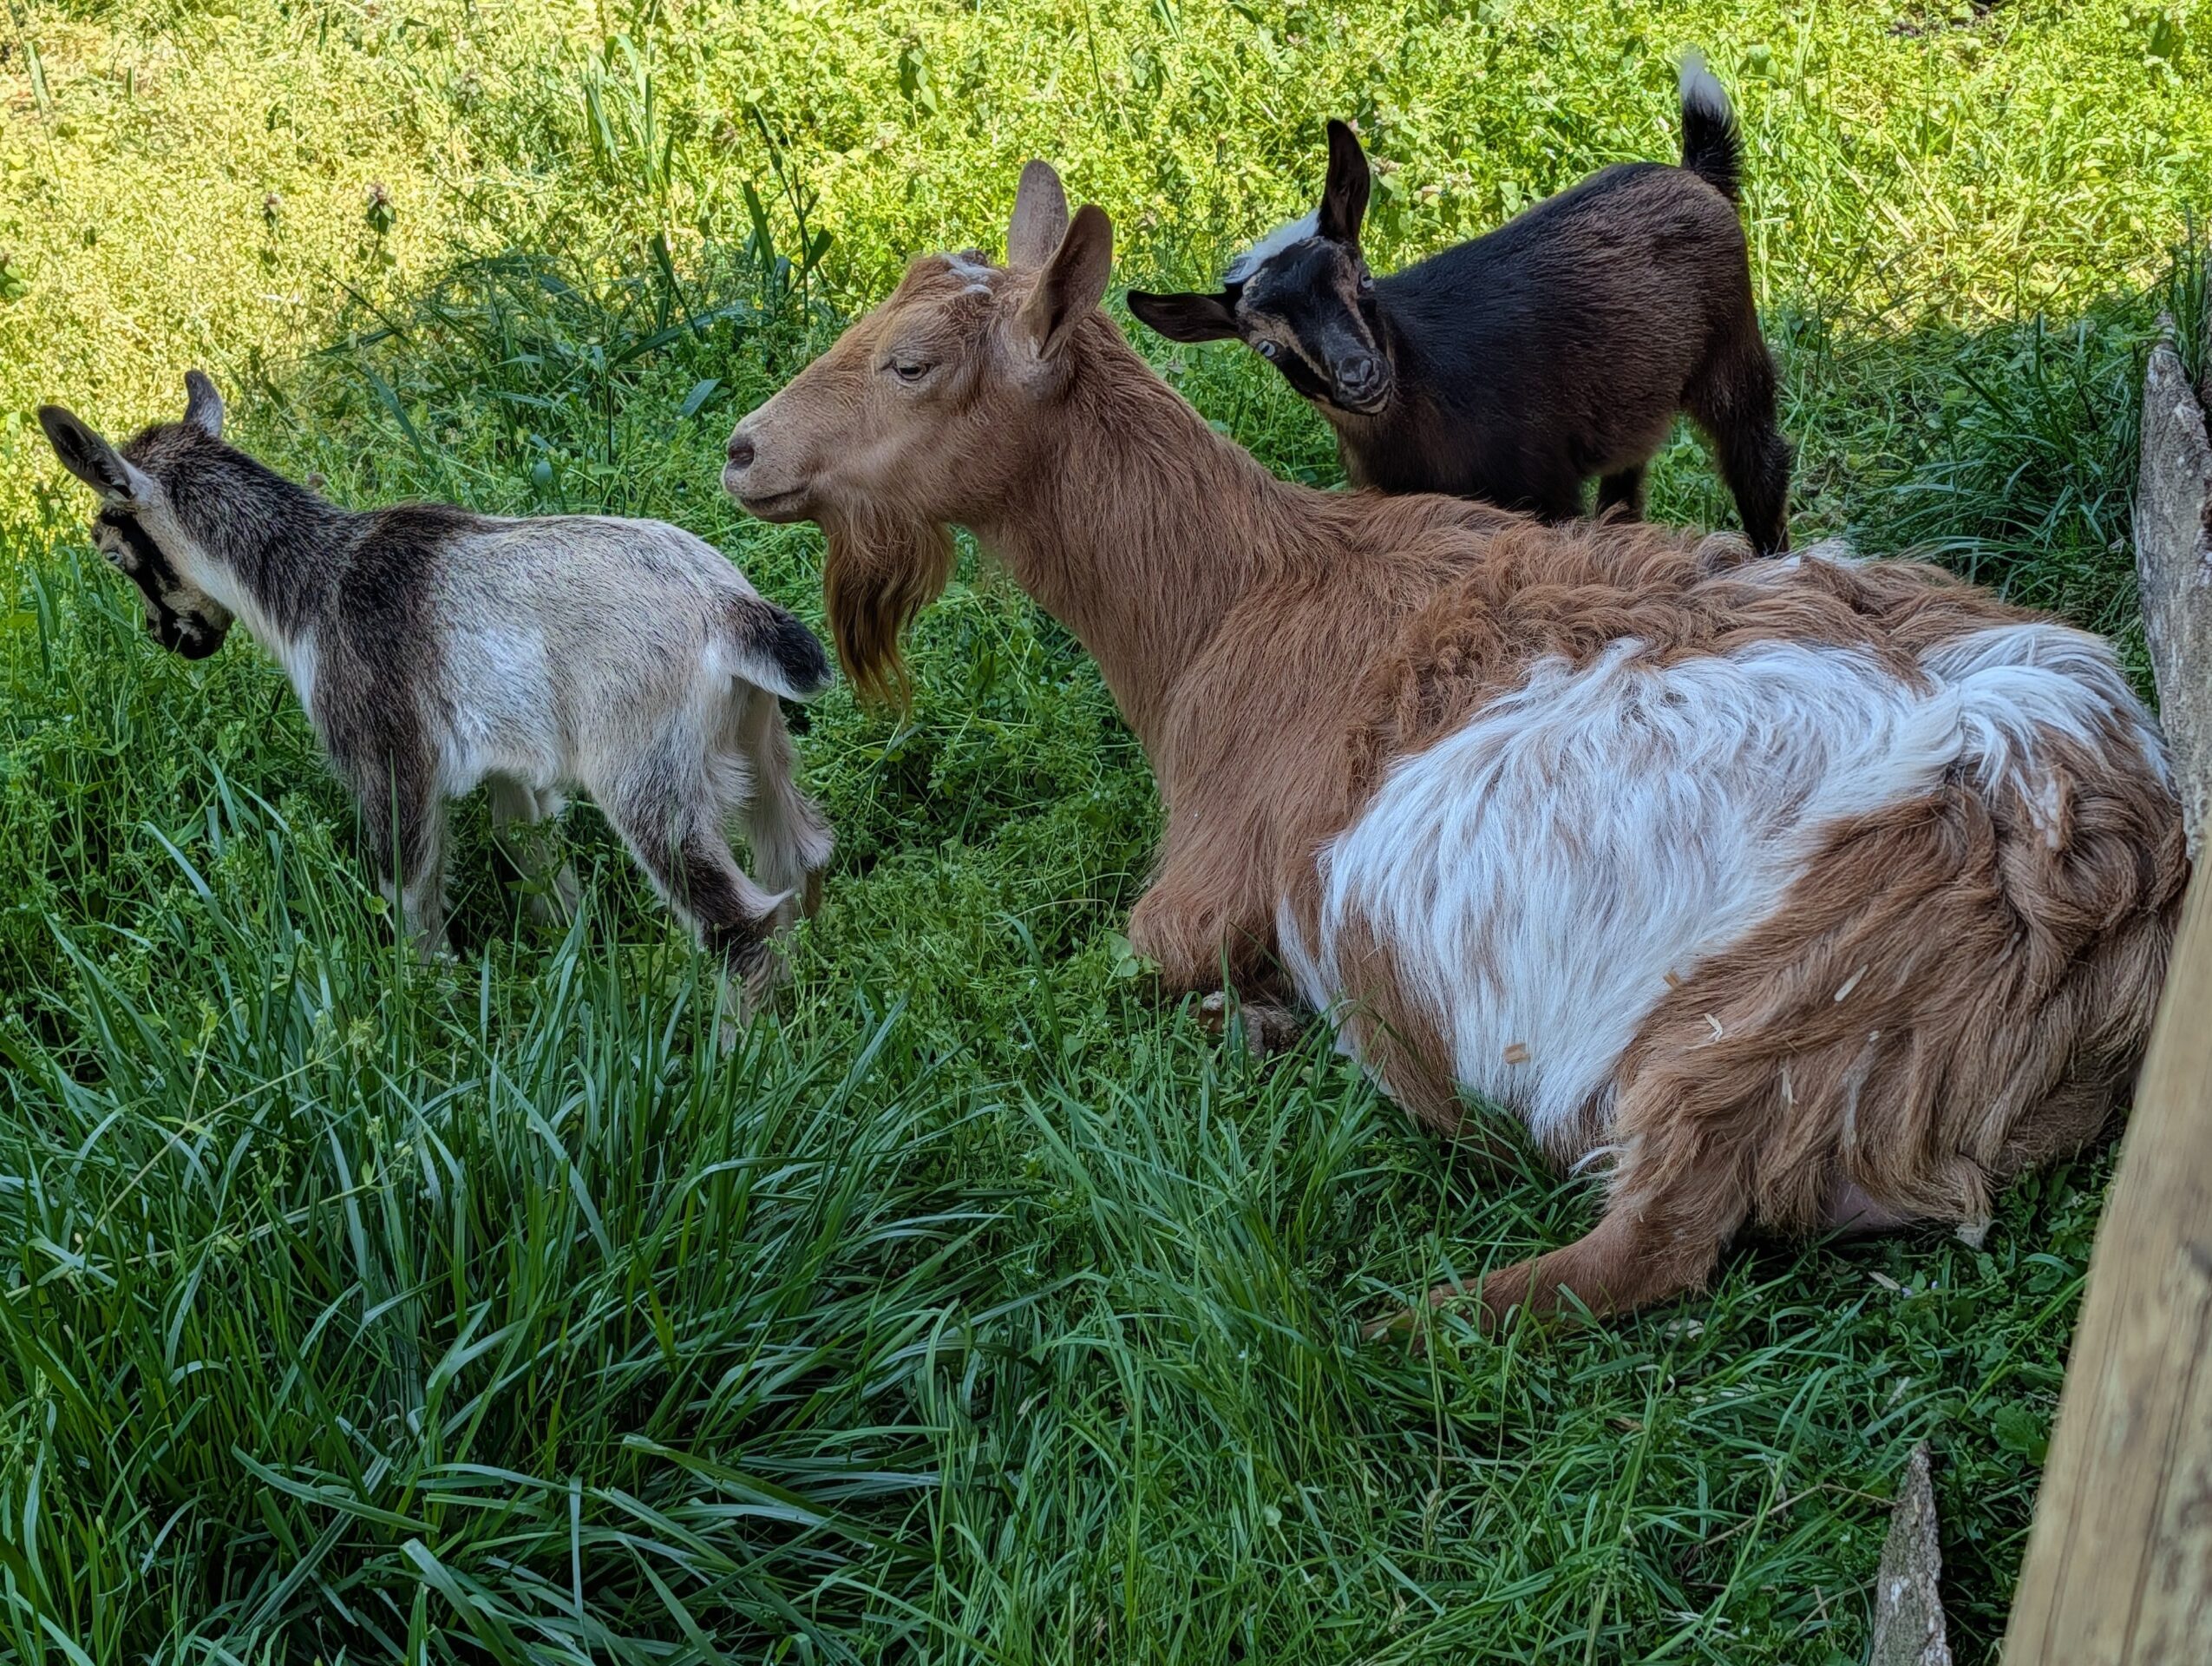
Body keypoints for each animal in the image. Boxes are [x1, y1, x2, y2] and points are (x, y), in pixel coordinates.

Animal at [39, 373, 833, 1018]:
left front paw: (427, 1004)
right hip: (755, 740)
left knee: (738, 919)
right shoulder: (514, 766)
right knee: (798, 857)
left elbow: (410, 892)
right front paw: (565, 958)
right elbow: (529, 852)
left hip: (647, 773)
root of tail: (726, 609)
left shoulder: (386, 757)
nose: (171, 638)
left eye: (113, 554)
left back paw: (732, 1055)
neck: (316, 583)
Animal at [723, 161, 2185, 1329]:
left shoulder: (1202, 886)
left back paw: (1388, 1319)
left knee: (1642, 1247)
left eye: (911, 364)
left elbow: (1134, 961)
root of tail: (2101, 858)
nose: (740, 452)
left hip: (1761, 1016)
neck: (1239, 603)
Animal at [1127, 56, 1794, 554]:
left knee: (1759, 461)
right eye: (1266, 345)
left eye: (1364, 279)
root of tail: (1695, 174)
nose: (1361, 376)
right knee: (1627, 481)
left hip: (1733, 352)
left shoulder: (1543, 488)